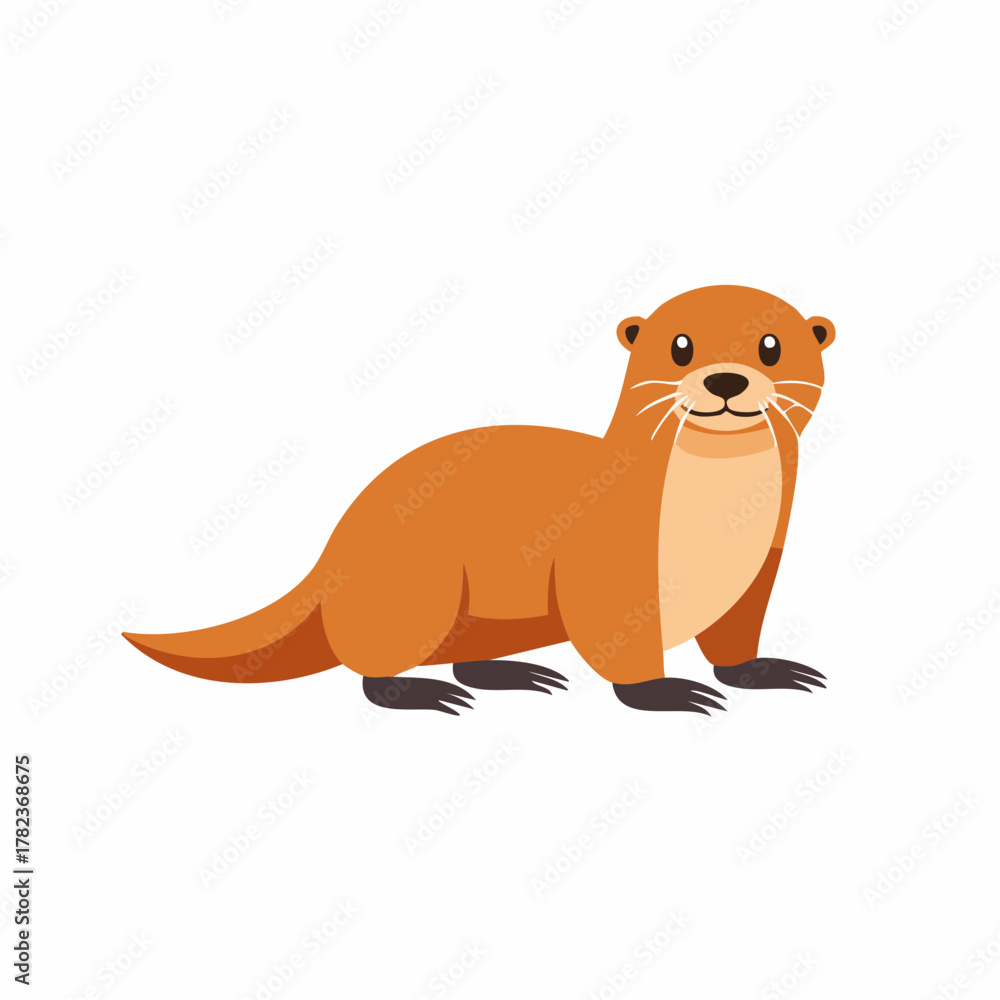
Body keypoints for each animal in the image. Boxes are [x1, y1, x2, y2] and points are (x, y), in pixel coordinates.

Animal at [124, 284, 835, 715]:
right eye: (679, 345)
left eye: (771, 345)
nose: (724, 379)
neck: (713, 517)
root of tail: (334, 553)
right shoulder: (608, 567)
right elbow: (618, 643)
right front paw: (663, 692)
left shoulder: (761, 564)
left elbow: (736, 636)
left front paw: (762, 671)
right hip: (416, 588)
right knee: (371, 666)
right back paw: (418, 691)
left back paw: (511, 675)